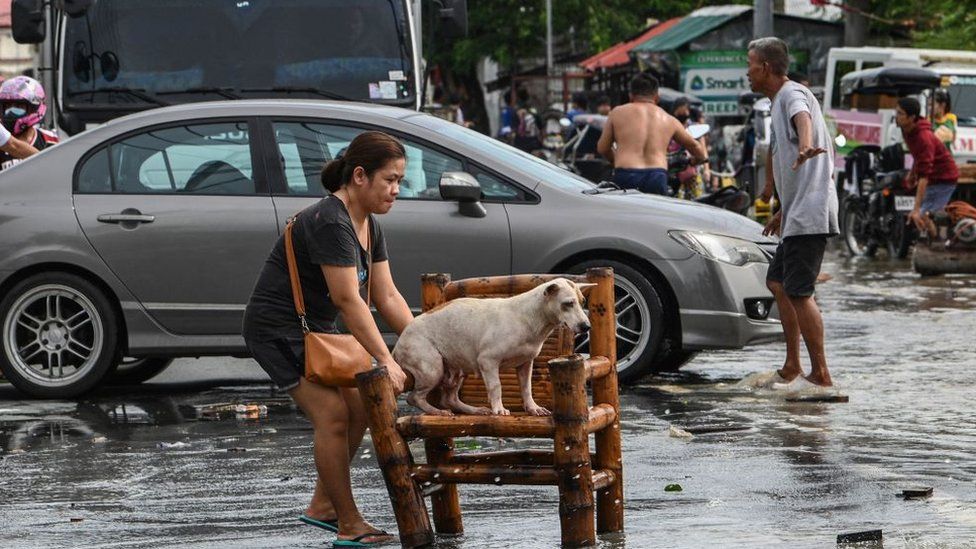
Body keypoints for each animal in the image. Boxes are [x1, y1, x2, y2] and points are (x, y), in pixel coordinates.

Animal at [390, 278, 592, 416]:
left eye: (583, 302)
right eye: (568, 304)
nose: (586, 326)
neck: (529, 317)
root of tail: (397, 345)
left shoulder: (525, 364)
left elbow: (526, 388)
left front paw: (533, 408)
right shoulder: (488, 361)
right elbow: (496, 386)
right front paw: (499, 409)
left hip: (458, 369)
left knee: (449, 399)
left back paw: (475, 410)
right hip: (432, 368)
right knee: (414, 397)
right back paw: (437, 411)